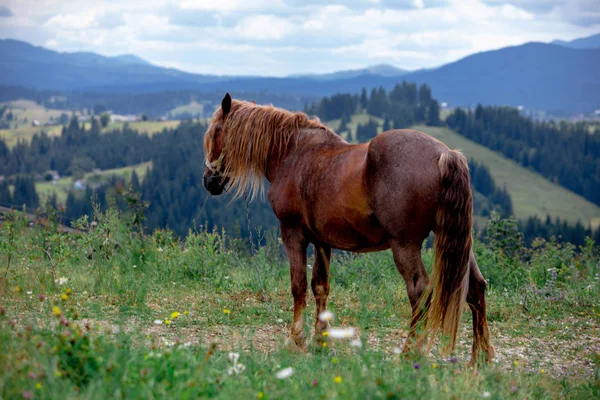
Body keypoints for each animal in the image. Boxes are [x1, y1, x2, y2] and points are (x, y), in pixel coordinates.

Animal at [204, 94, 494, 366]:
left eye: (216, 131)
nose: (208, 181)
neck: (294, 155)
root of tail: (444, 154)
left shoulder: (293, 234)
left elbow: (298, 285)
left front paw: (295, 340)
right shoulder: (322, 241)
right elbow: (320, 286)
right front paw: (320, 339)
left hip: (405, 245)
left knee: (421, 292)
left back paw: (410, 353)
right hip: (459, 244)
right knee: (476, 288)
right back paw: (480, 358)